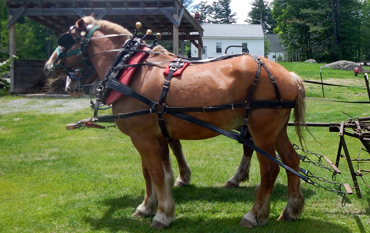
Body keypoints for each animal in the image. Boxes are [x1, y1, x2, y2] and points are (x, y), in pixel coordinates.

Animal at [45, 16, 306, 229]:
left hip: (260, 132)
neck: (130, 69)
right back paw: (291, 209)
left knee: (270, 169)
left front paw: (163, 214)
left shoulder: (142, 136)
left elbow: (156, 173)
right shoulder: (150, 135)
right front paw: (146, 206)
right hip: (277, 131)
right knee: (291, 160)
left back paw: (254, 215)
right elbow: (149, 172)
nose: (48, 67)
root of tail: (288, 74)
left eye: (64, 40)